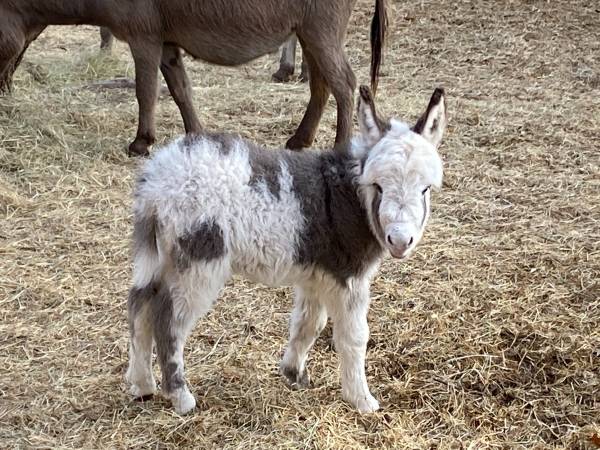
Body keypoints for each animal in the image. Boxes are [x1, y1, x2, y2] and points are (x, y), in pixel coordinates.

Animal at [125, 86, 446, 414]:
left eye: (425, 189)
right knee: (168, 321)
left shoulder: (316, 275)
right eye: (378, 186)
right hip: (198, 262)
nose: (400, 240)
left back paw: (142, 385)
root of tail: (158, 180)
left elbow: (307, 324)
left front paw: (293, 373)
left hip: (162, 256)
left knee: (140, 306)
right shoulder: (348, 278)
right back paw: (181, 397)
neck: (351, 194)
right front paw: (362, 400)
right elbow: (354, 337)